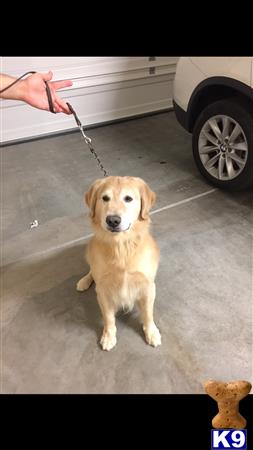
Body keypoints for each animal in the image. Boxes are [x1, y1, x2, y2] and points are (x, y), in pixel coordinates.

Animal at [76, 177, 161, 352]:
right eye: (105, 198)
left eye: (128, 198)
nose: (113, 220)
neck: (121, 245)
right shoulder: (103, 290)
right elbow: (108, 317)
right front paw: (109, 336)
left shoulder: (148, 286)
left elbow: (148, 314)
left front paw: (151, 332)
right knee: (91, 271)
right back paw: (84, 281)